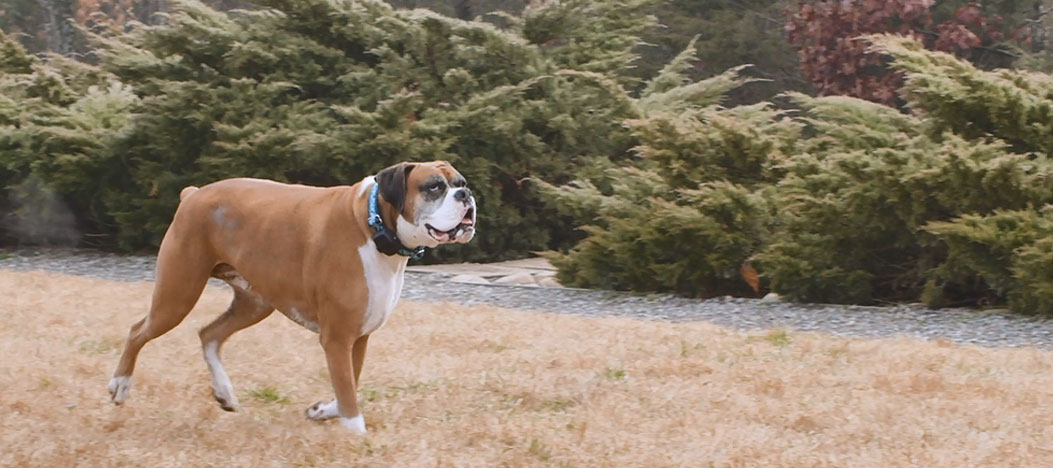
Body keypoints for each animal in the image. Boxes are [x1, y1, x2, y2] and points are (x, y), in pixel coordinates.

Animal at [106, 161, 478, 434]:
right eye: (434, 187)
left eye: (461, 182)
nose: (467, 194)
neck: (373, 225)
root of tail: (194, 194)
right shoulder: (338, 338)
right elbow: (349, 399)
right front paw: (357, 437)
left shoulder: (356, 339)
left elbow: (347, 385)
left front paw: (322, 410)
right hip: (178, 293)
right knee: (138, 331)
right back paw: (119, 385)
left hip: (255, 303)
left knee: (208, 334)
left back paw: (224, 393)